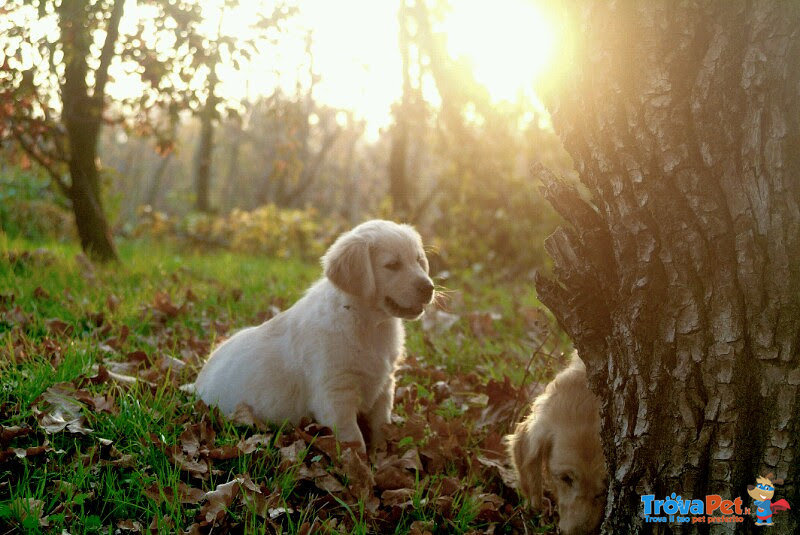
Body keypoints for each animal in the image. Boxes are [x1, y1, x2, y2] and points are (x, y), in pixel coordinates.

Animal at [194, 220, 434, 454]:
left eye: (419, 260)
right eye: (392, 265)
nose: (429, 287)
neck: (369, 323)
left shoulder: (384, 386)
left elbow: (381, 426)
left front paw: (384, 456)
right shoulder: (335, 395)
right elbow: (354, 440)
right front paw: (360, 464)